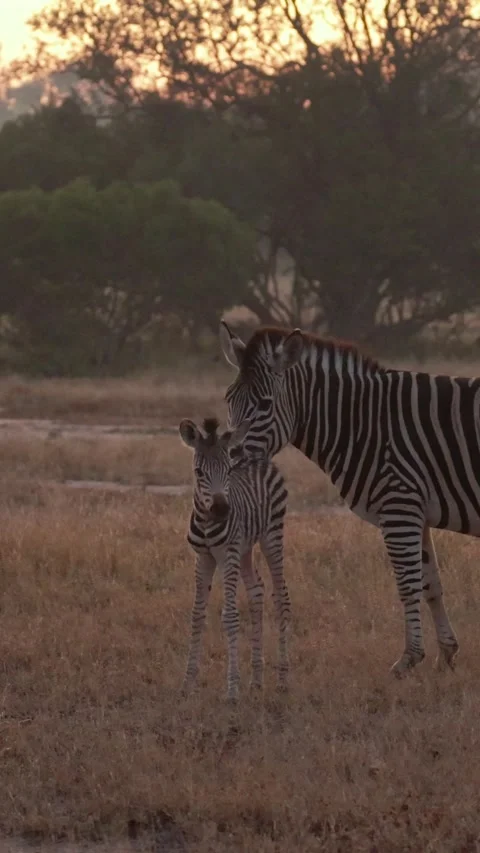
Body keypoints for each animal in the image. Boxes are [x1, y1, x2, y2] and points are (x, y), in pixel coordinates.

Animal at [179, 415, 291, 701]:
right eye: (199, 472)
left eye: (228, 471)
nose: (221, 509)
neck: (208, 522)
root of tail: (259, 458)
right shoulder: (204, 556)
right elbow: (197, 614)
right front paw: (188, 683)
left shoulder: (227, 554)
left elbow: (229, 617)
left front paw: (232, 690)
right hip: (245, 548)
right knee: (257, 590)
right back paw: (257, 680)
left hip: (272, 536)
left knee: (281, 596)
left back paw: (283, 680)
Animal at [219, 320, 480, 678]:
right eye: (228, 400)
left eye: (264, 405)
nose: (230, 458)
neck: (363, 424)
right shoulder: (416, 511)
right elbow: (430, 584)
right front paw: (447, 655)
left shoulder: (399, 509)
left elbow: (407, 585)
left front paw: (409, 659)